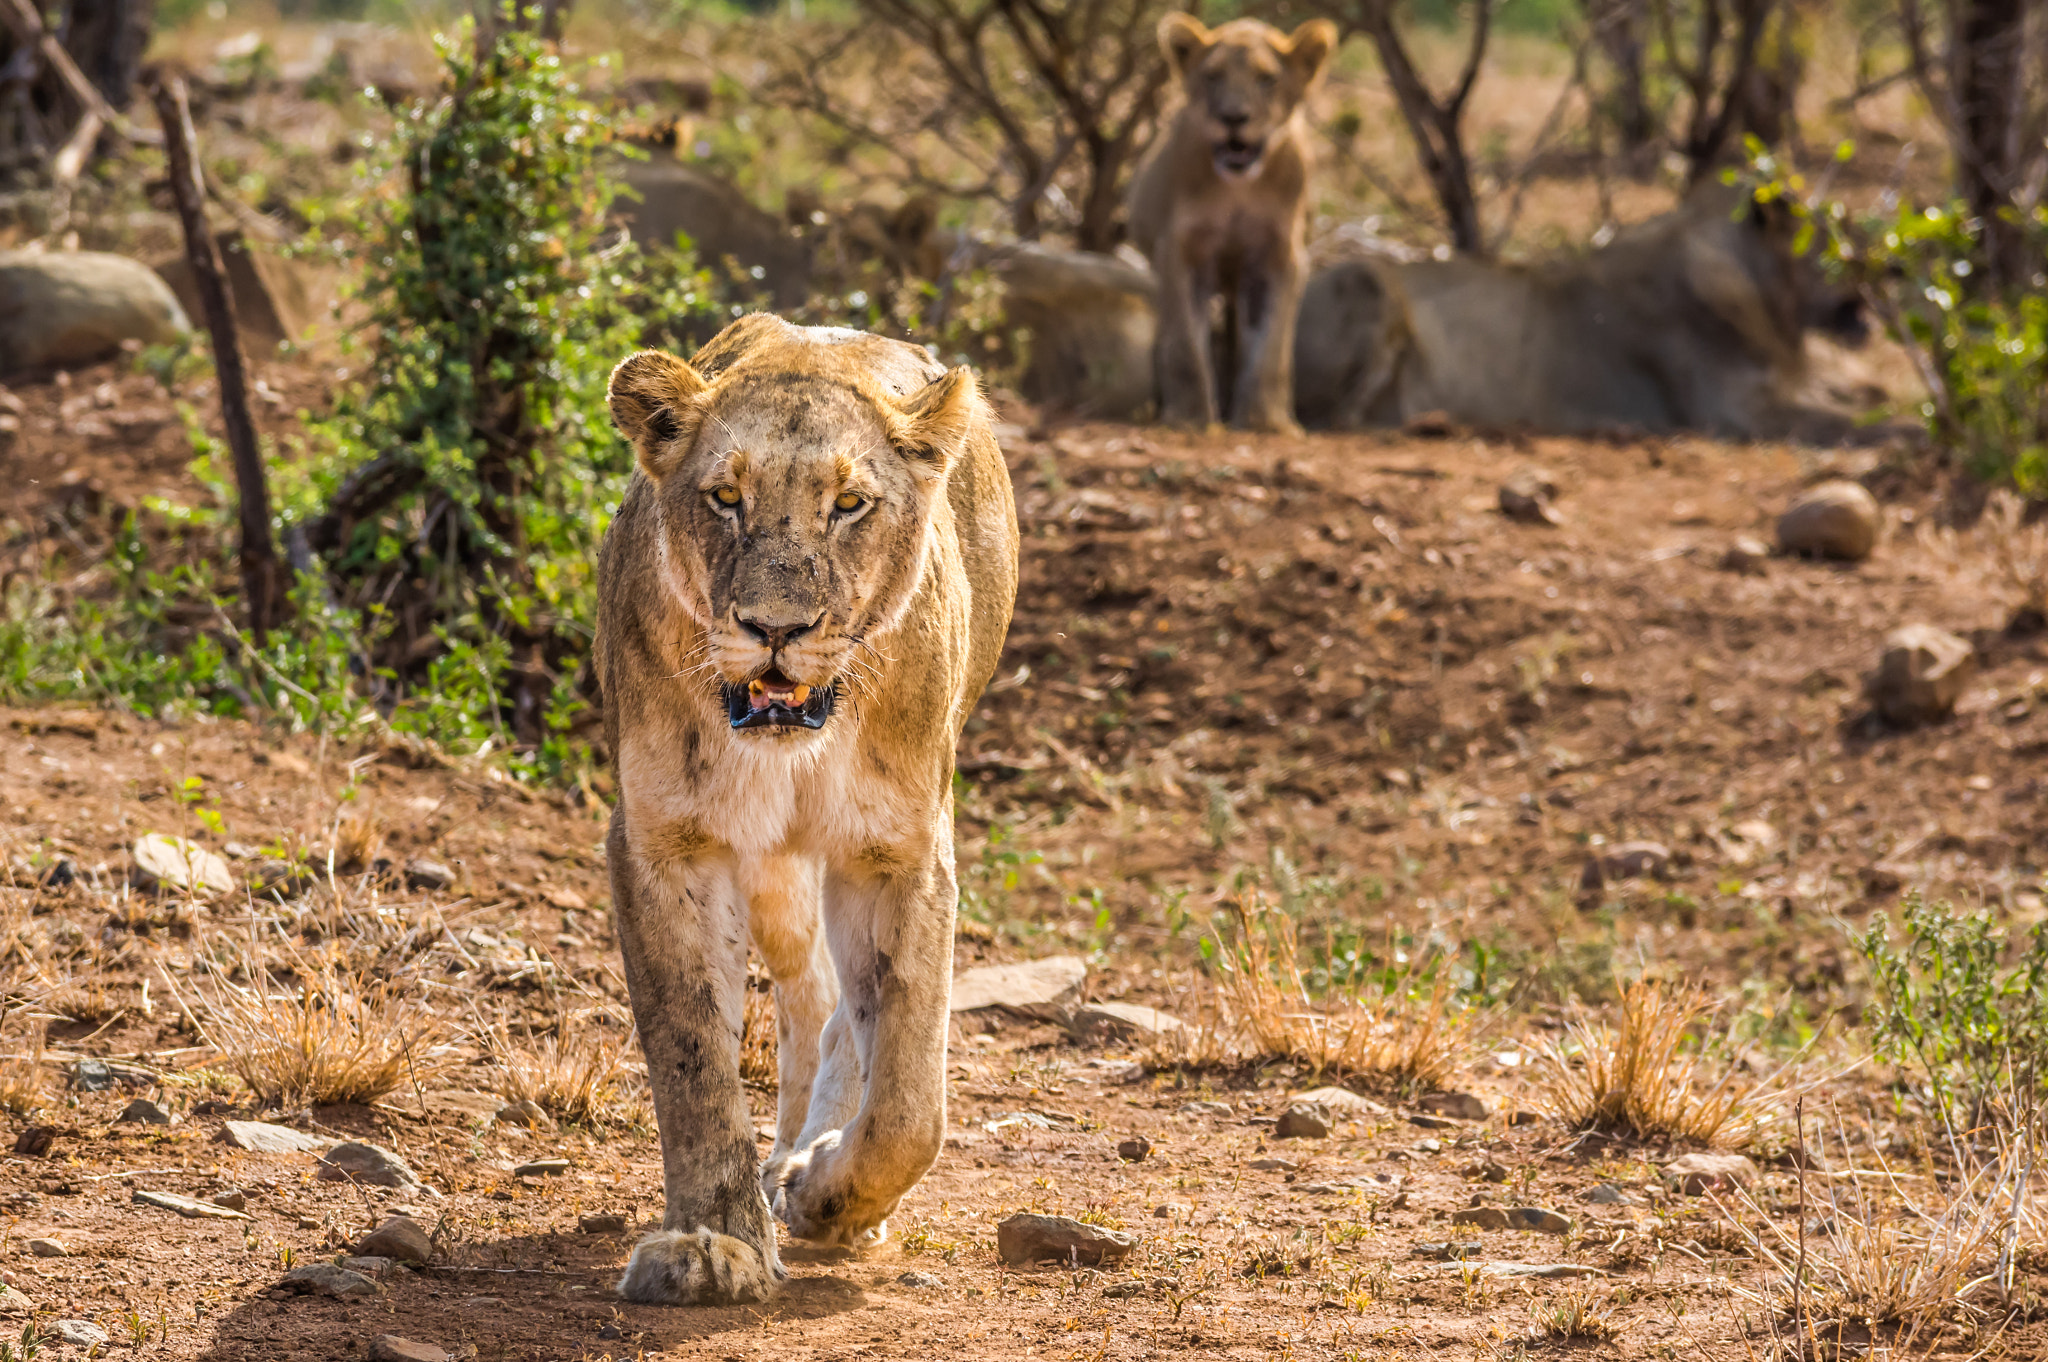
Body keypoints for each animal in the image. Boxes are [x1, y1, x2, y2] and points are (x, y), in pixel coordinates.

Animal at [598, 313, 1019, 1302]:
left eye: (851, 504)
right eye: (724, 497)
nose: (776, 629)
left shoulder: (900, 852)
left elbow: (908, 1099)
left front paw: (829, 1199)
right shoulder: (665, 841)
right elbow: (694, 1059)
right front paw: (714, 1243)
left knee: (846, 1020)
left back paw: (807, 1165)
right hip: (771, 871)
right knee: (808, 994)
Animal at [1130, 11, 1335, 430]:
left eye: (1266, 78)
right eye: (1212, 76)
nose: (1233, 118)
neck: (1239, 188)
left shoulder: (1279, 256)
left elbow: (1270, 346)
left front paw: (1265, 421)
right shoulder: (1179, 252)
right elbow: (1186, 345)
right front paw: (1189, 419)